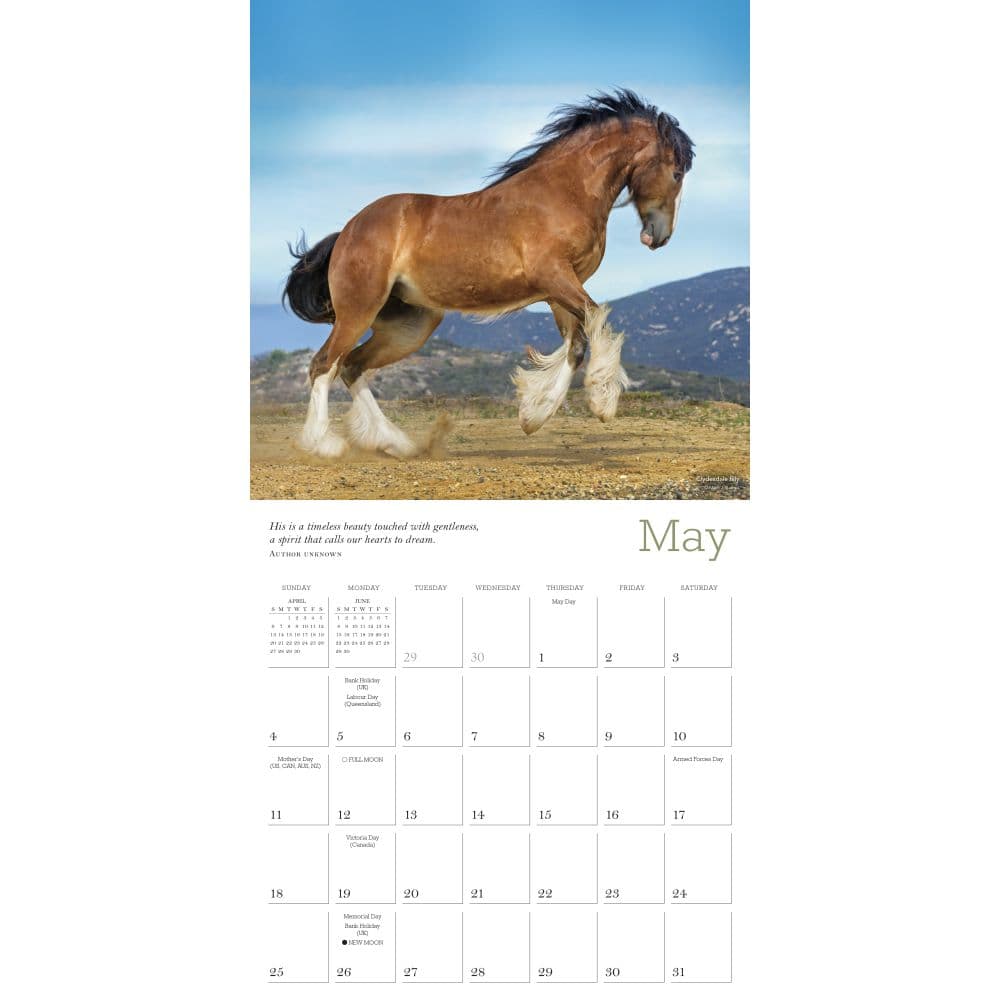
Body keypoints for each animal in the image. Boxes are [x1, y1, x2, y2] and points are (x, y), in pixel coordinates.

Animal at [283, 89, 694, 459]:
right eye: (676, 172)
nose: (659, 236)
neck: (564, 192)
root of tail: (347, 232)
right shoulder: (555, 277)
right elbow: (596, 322)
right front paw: (601, 402)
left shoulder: (558, 291)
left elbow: (576, 346)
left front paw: (533, 415)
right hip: (359, 309)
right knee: (324, 364)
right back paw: (324, 444)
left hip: (410, 325)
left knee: (353, 366)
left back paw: (399, 445)